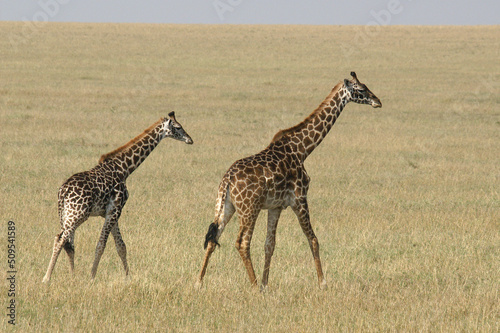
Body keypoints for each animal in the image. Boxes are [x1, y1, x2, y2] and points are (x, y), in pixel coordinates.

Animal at [42, 111, 193, 282]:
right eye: (178, 127)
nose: (190, 140)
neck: (124, 169)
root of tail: (62, 191)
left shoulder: (112, 211)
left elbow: (121, 246)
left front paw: (128, 276)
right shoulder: (115, 210)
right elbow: (101, 245)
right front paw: (92, 276)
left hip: (67, 214)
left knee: (69, 244)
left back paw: (72, 276)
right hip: (78, 214)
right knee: (60, 239)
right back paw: (47, 278)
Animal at [197, 72, 380, 288]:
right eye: (360, 89)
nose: (377, 101)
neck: (302, 149)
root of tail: (228, 180)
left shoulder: (276, 206)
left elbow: (270, 244)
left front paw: (266, 285)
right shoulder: (299, 199)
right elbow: (313, 239)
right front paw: (322, 283)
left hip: (226, 206)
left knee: (213, 238)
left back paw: (199, 282)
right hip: (249, 209)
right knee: (242, 242)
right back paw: (253, 285)